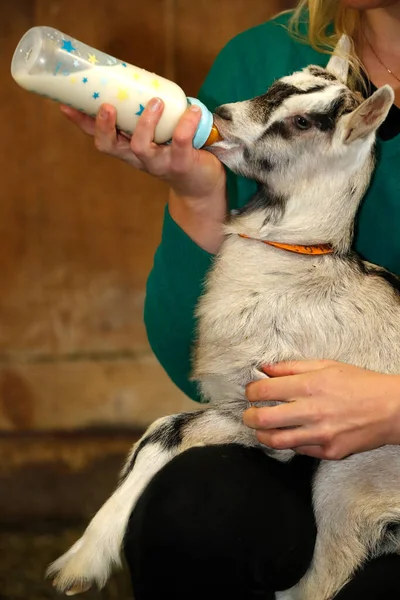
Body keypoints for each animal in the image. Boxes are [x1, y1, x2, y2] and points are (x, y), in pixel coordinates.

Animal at [48, 38, 400, 600]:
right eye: (278, 83)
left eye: (304, 122)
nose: (224, 116)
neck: (300, 269)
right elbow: (157, 428)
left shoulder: (277, 415)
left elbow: (169, 431)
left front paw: (83, 558)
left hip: (346, 488)